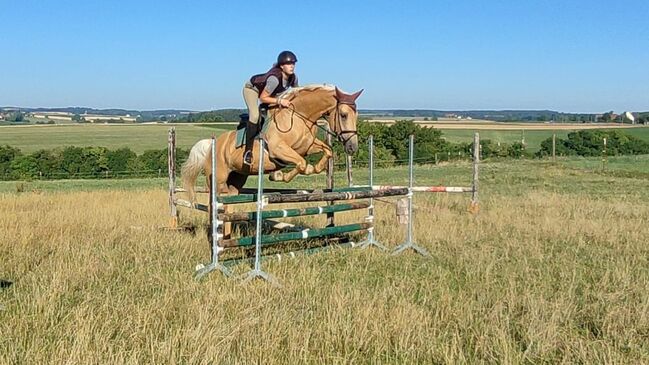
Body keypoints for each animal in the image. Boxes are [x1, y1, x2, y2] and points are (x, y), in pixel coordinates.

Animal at [180, 83, 362, 236]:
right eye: (344, 115)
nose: (352, 147)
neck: (299, 117)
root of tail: (212, 144)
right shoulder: (278, 149)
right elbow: (302, 163)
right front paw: (279, 175)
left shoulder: (307, 147)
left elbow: (327, 150)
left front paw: (316, 168)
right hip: (218, 179)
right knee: (214, 206)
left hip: (236, 180)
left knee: (227, 207)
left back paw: (226, 236)